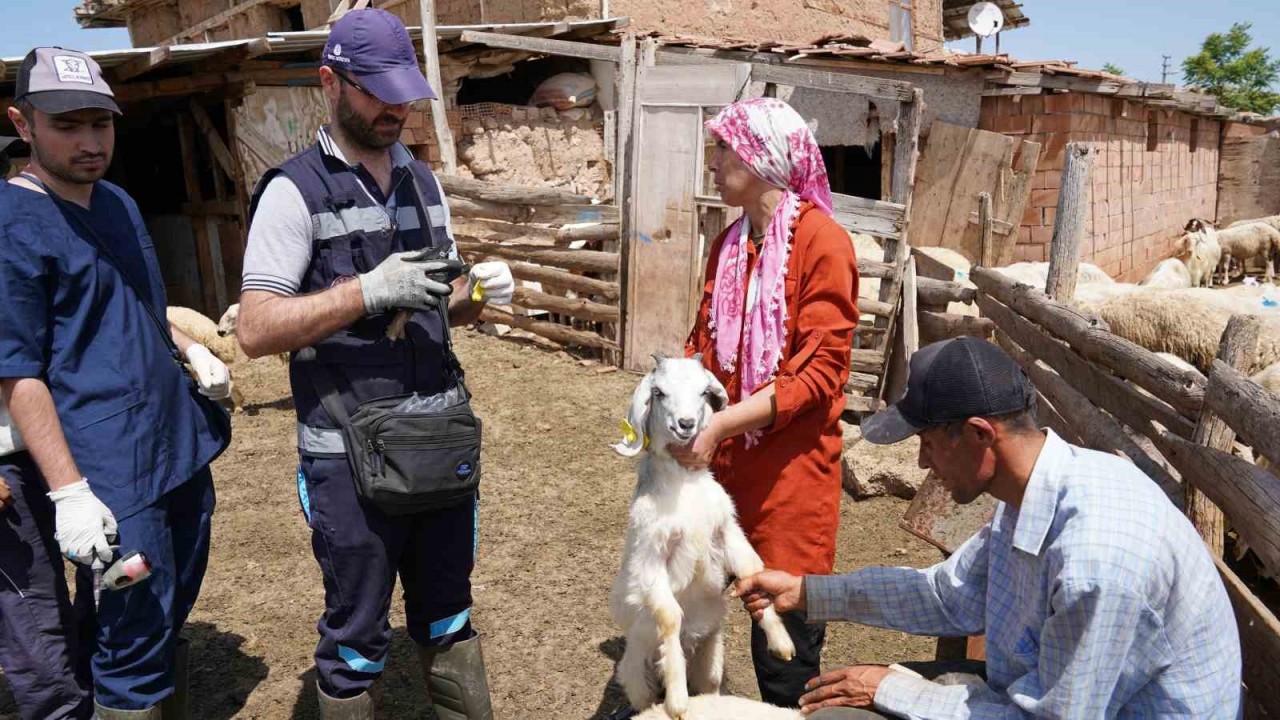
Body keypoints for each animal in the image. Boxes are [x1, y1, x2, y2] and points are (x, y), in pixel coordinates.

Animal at [606, 353, 788, 717]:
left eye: (704, 391)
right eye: (659, 392)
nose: (686, 423)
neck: (684, 487)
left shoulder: (727, 530)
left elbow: (752, 571)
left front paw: (781, 642)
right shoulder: (651, 554)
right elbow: (669, 616)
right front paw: (677, 701)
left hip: (711, 659)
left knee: (710, 687)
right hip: (636, 670)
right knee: (644, 697)